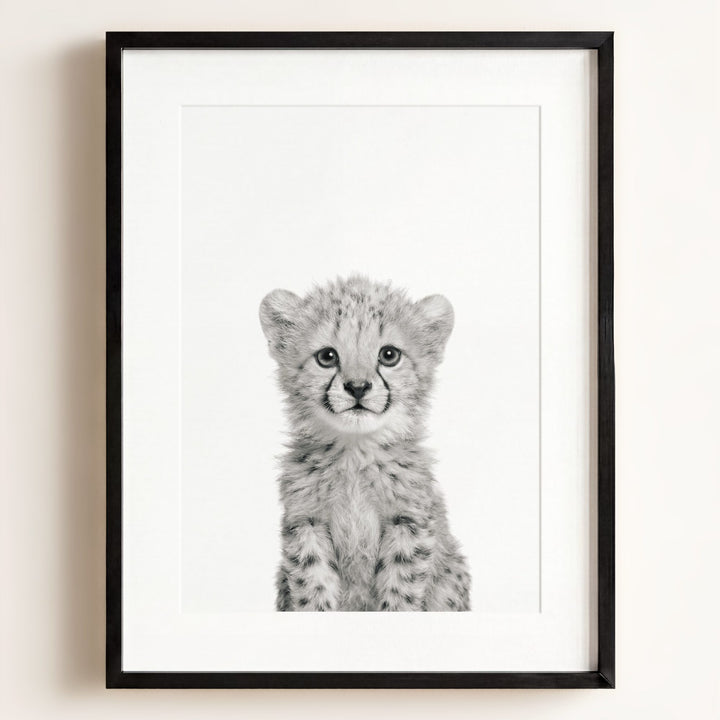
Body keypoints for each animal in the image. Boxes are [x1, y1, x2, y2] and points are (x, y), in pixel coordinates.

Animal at [260, 275, 471, 611]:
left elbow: (401, 589)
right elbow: (312, 586)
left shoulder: (408, 522)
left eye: (389, 355)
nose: (357, 387)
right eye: (327, 357)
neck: (355, 454)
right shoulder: (306, 522)